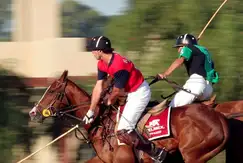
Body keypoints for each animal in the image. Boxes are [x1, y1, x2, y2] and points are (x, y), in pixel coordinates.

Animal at [29, 70, 230, 163]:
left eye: (52, 91)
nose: (33, 113)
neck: (102, 122)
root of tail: (221, 120)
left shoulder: (123, 160)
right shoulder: (104, 160)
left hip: (192, 154)